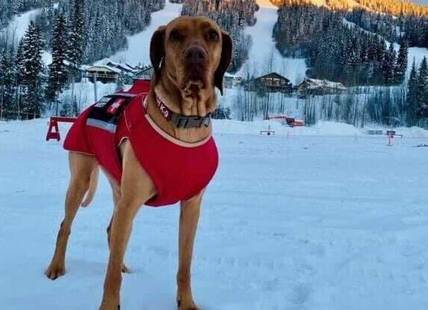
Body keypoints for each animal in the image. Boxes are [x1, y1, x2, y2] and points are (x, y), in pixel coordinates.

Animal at [45, 17, 232, 310]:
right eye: (175, 35)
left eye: (212, 35)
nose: (195, 55)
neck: (183, 122)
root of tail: (93, 105)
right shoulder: (130, 201)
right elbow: (110, 277)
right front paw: (109, 304)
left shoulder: (191, 206)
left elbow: (185, 264)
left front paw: (187, 302)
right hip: (82, 181)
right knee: (66, 226)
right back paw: (56, 267)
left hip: (120, 189)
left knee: (112, 231)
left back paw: (120, 263)